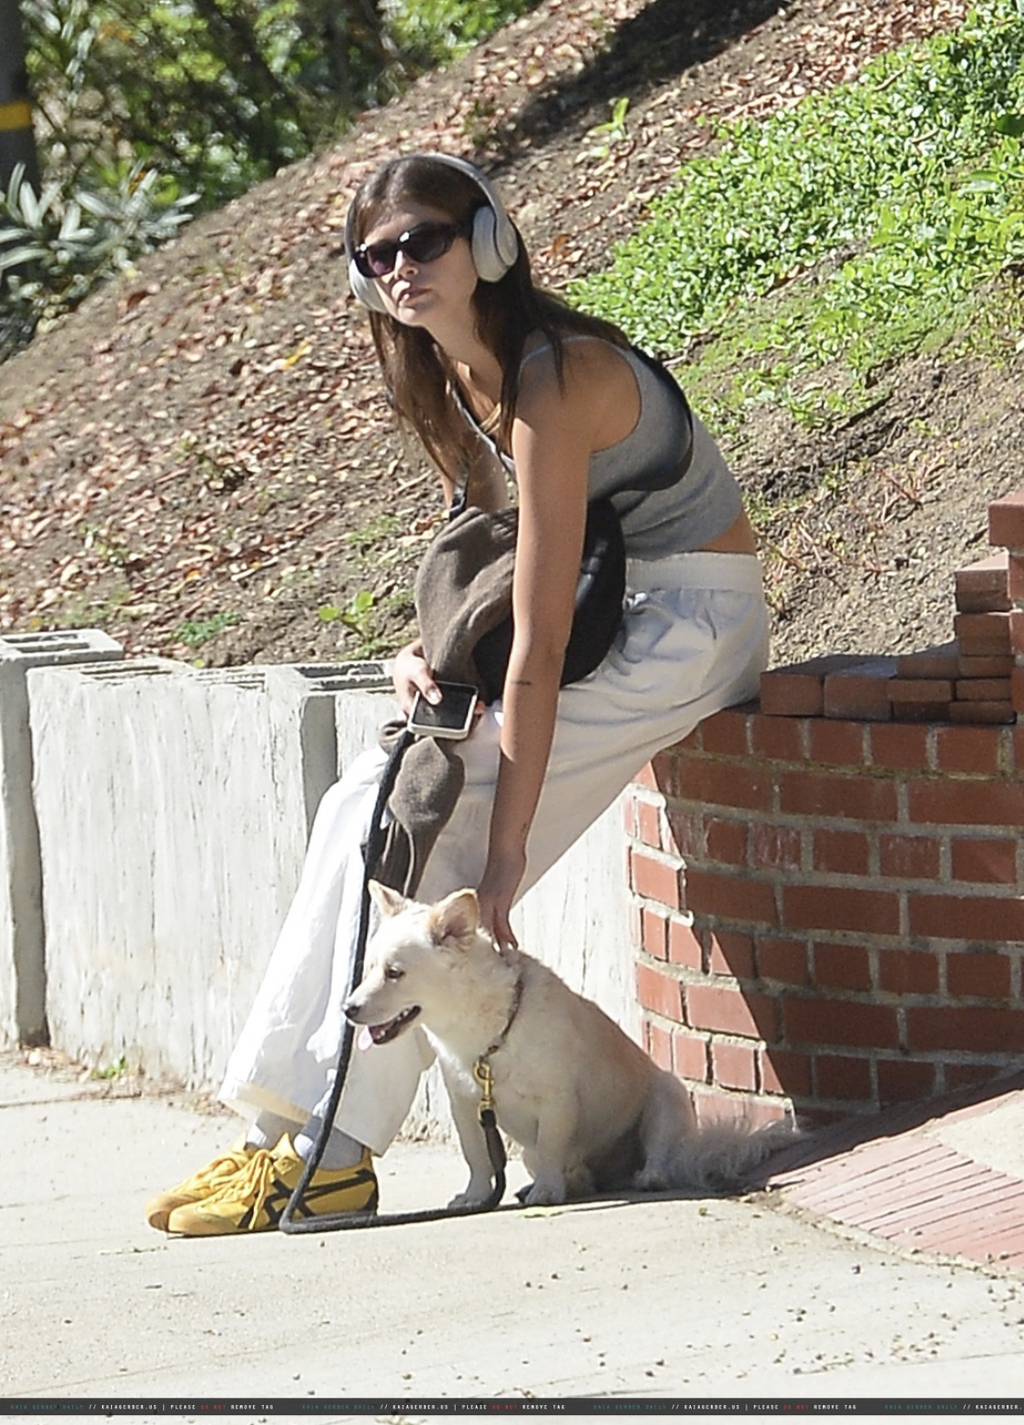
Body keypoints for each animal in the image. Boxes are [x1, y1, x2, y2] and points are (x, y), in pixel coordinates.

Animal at [344, 883, 791, 1208]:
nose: (348, 1009)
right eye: (368, 970)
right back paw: (572, 1181)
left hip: (668, 1098)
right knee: (569, 1169)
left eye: (394, 973)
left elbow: (550, 1145)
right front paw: (476, 1196)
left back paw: (647, 1175)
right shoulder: (467, 1106)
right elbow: (478, 1157)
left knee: (660, 1151)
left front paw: (546, 1191)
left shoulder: (556, 1103)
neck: (485, 1034)